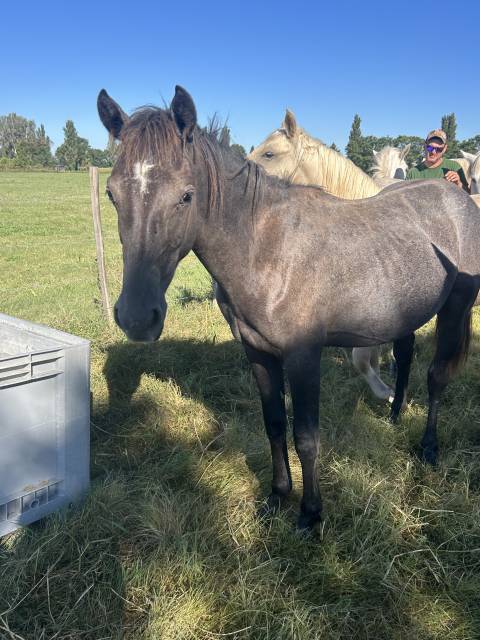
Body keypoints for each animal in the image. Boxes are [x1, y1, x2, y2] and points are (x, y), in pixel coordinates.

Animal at [98, 85, 480, 531]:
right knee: (404, 357)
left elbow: (307, 438)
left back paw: (428, 447)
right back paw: (395, 415)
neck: (266, 248)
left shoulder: (303, 355)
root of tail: (456, 195)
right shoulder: (258, 352)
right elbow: (275, 425)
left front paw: (310, 514)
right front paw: (278, 495)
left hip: (455, 308)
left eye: (186, 195)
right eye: (111, 193)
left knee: (436, 377)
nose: (137, 318)